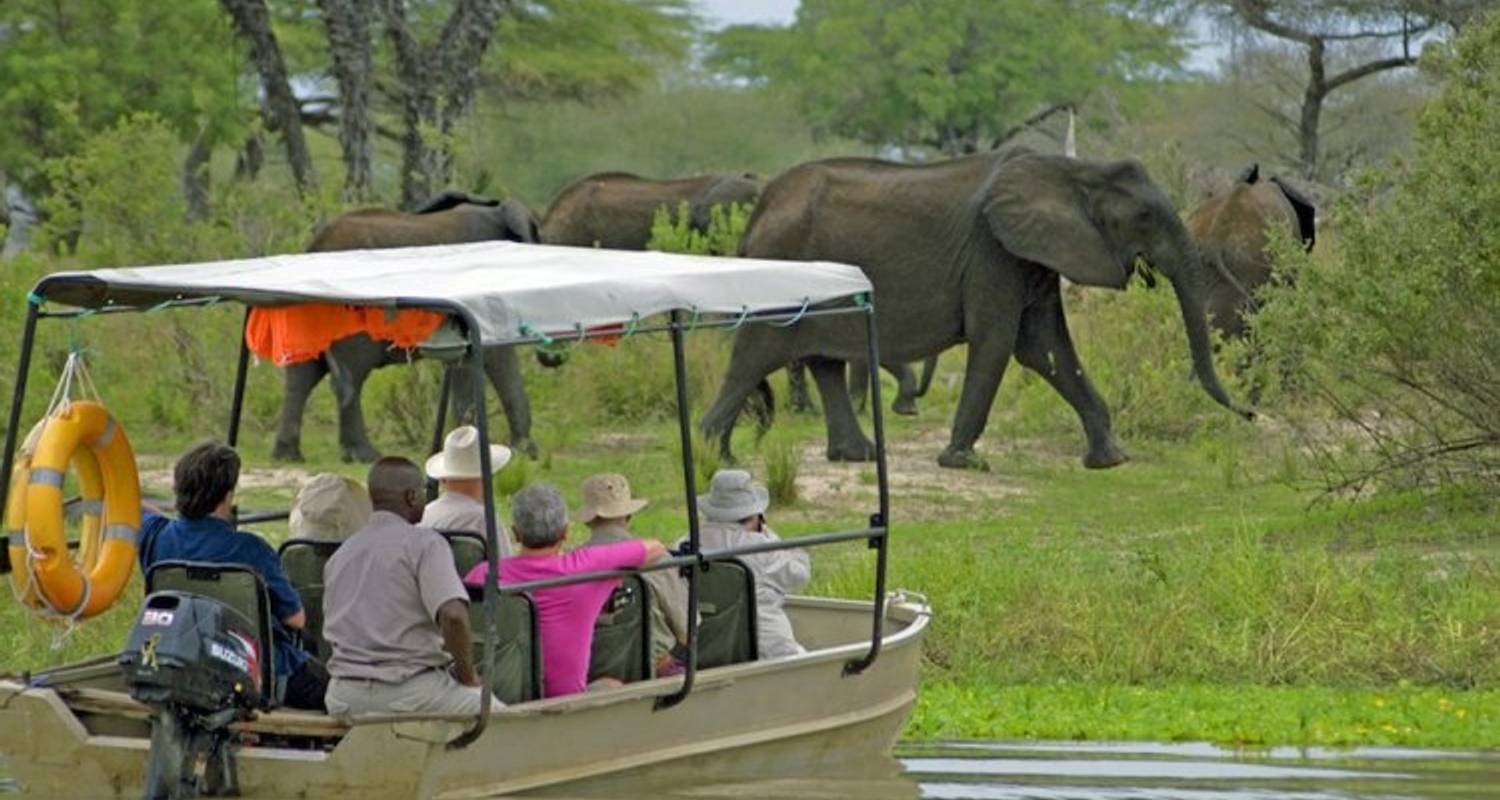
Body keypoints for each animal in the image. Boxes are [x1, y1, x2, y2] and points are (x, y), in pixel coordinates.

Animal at [276, 192, 546, 462]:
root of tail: (314, 245)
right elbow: (497, 358)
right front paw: (525, 453)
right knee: (350, 374)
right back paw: (365, 455)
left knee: (303, 373)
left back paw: (288, 455)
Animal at [702, 147, 1254, 468]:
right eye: (1143, 217)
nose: (1252, 412)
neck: (1072, 170)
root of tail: (758, 213)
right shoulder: (994, 250)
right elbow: (999, 342)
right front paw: (962, 462)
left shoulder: (1029, 255)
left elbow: (1044, 347)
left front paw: (1110, 460)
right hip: (779, 268)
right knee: (755, 355)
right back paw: (716, 458)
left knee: (822, 362)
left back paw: (855, 456)